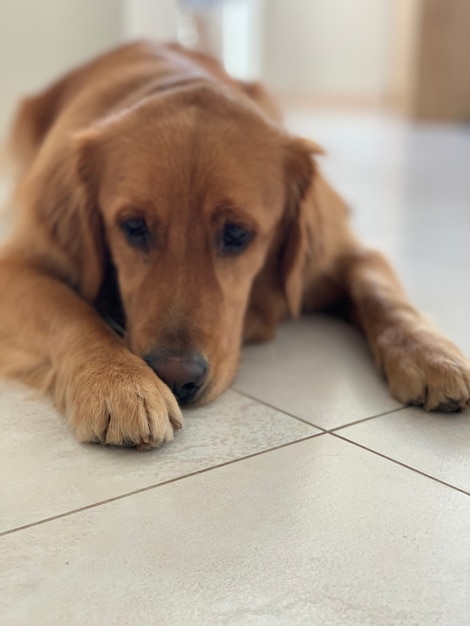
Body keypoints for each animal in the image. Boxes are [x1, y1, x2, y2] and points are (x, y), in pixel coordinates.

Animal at [0, 40, 468, 448]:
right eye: (132, 227)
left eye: (237, 233)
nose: (175, 376)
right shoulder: (17, 265)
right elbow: (72, 312)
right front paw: (119, 381)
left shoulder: (339, 254)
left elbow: (382, 292)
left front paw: (430, 354)